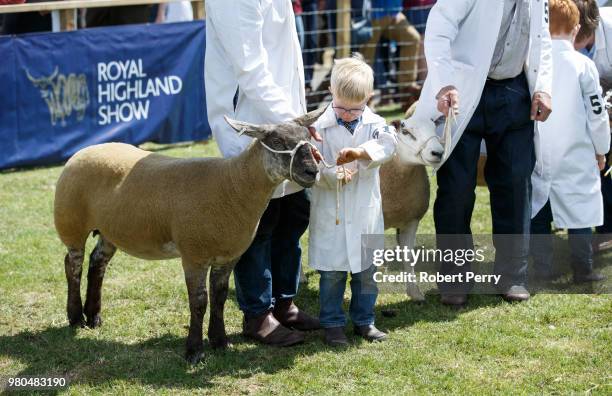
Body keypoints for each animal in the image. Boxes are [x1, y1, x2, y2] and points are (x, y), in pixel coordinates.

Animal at [55, 106, 328, 364]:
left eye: (308, 138)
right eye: (278, 142)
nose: (311, 171)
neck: (233, 184)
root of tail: (84, 150)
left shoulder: (228, 256)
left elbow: (219, 298)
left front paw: (220, 342)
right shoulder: (194, 256)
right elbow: (199, 302)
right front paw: (195, 351)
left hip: (109, 230)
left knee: (97, 263)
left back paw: (94, 317)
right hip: (71, 223)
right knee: (73, 265)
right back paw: (76, 317)